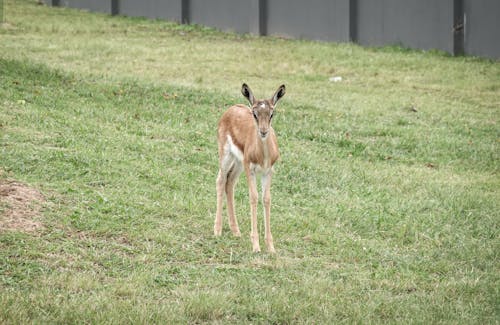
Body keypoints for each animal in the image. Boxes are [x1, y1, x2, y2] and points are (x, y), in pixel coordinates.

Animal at [214, 82, 286, 252]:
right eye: (254, 113)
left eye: (271, 113)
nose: (263, 131)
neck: (262, 155)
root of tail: (231, 108)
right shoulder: (250, 169)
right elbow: (253, 197)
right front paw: (256, 246)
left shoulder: (268, 171)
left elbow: (266, 199)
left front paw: (271, 248)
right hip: (227, 157)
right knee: (220, 180)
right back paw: (217, 230)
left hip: (238, 164)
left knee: (230, 183)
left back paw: (236, 231)